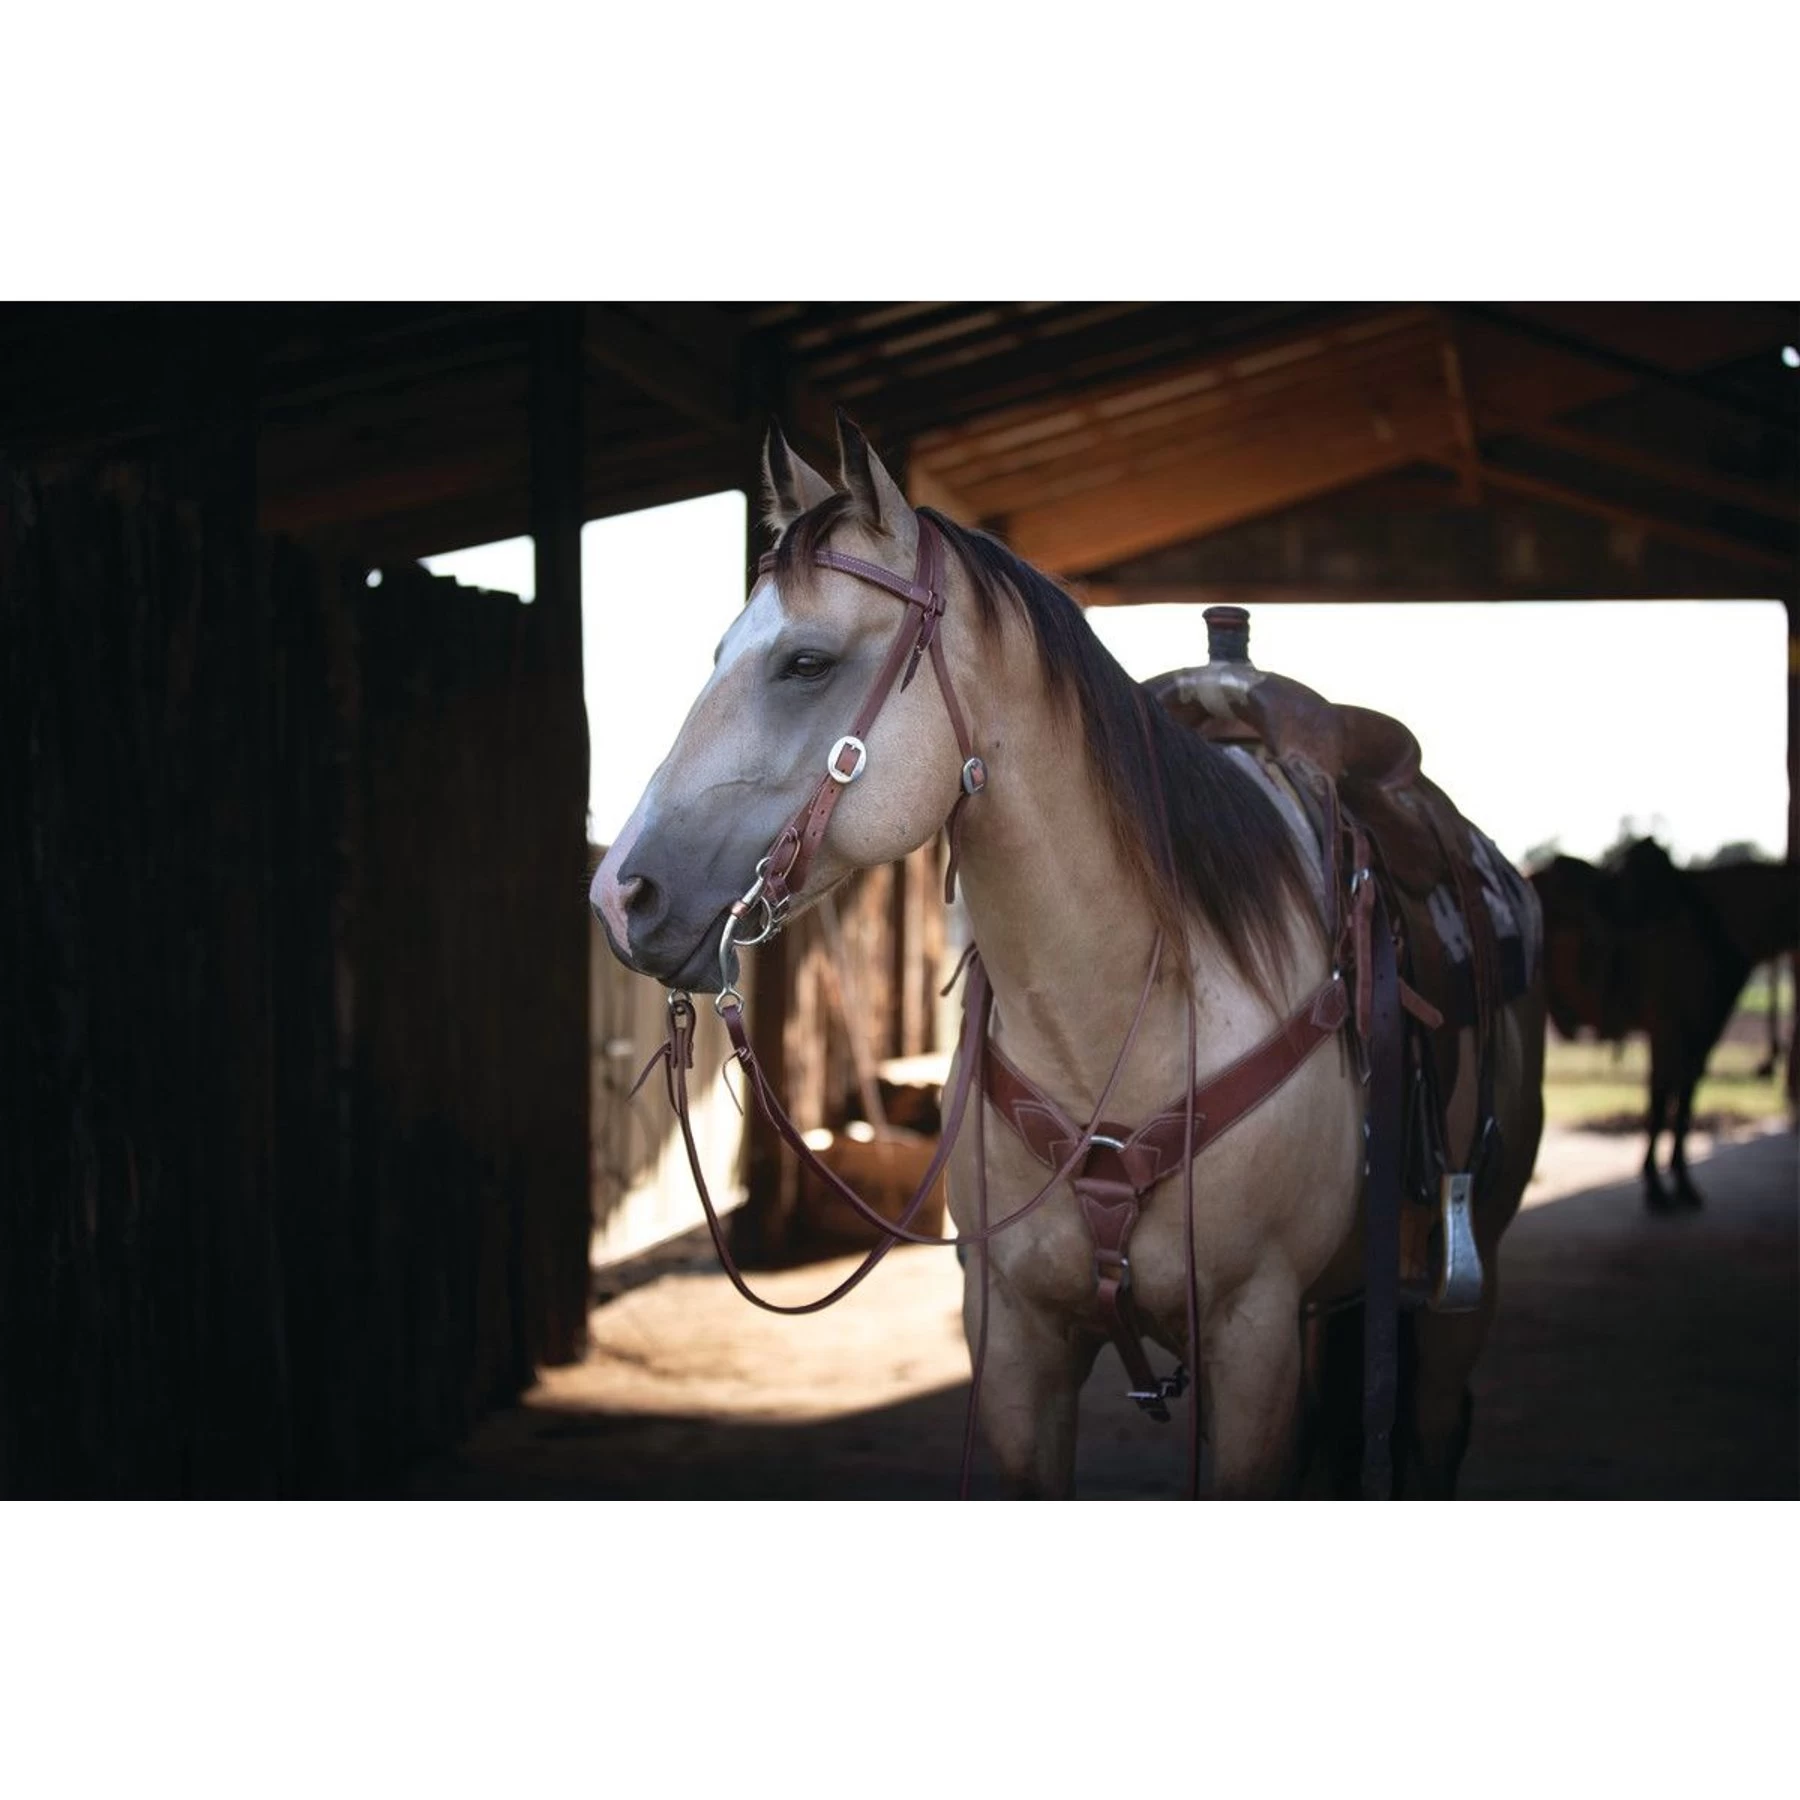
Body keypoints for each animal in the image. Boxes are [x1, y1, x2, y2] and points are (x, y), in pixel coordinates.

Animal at [592, 416, 1546, 1498]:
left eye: (805, 661)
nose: (619, 896)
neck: (1115, 1028)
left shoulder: (1252, 1335)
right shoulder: (1016, 1342)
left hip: (1457, 1292)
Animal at [1531, 841, 1799, 1208]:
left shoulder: (1703, 1033)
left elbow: (1683, 1101)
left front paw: (1681, 1182)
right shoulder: (1668, 1027)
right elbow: (1661, 1101)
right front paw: (1658, 1187)